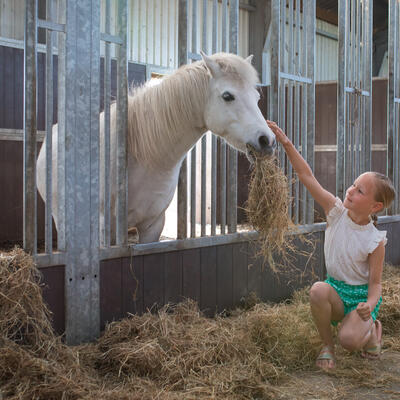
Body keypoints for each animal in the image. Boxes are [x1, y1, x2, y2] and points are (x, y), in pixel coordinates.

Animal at [36, 52, 276, 244]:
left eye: (257, 96)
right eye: (228, 96)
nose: (268, 141)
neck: (144, 157)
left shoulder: (153, 224)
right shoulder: (105, 228)